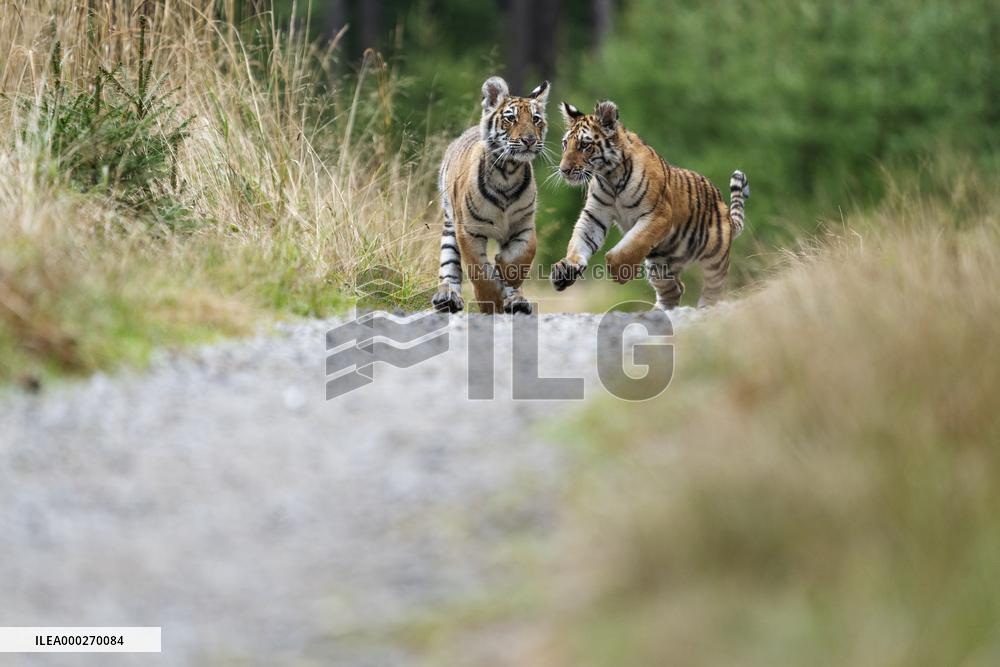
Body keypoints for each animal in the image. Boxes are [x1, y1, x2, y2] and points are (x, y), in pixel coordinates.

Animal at [432, 76, 550, 314]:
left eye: (536, 119)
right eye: (511, 118)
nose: (529, 140)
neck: (508, 173)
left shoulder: (523, 224)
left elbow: (524, 254)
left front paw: (505, 270)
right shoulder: (468, 229)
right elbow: (478, 269)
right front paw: (491, 300)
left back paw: (517, 301)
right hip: (450, 224)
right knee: (449, 264)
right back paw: (447, 298)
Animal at [550, 99, 749, 309]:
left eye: (584, 145)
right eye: (565, 144)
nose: (564, 170)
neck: (610, 176)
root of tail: (726, 212)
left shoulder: (658, 214)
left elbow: (633, 244)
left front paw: (618, 271)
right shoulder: (595, 216)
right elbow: (580, 241)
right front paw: (566, 269)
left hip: (715, 261)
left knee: (714, 289)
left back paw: (705, 307)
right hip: (659, 264)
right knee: (674, 289)